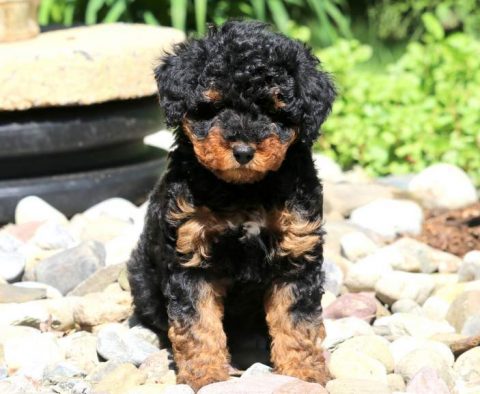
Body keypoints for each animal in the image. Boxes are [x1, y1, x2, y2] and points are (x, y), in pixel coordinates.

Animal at [129, 20, 336, 390]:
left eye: (273, 109)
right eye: (213, 107)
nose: (243, 151)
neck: (244, 192)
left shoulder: (297, 249)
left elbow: (298, 321)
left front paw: (303, 374)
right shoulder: (191, 254)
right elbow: (197, 323)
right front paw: (206, 375)